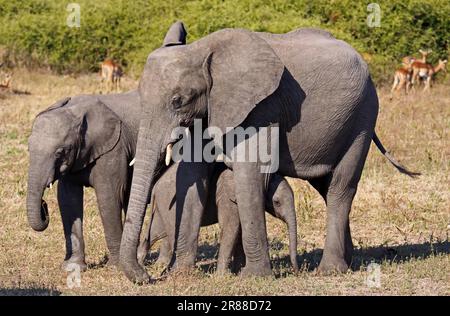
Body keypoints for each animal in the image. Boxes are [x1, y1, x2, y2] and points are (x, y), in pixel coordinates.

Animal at [137, 165, 298, 274]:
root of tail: (156, 186)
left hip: (163, 207)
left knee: (154, 233)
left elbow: (239, 229)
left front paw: (238, 270)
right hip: (171, 206)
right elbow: (231, 227)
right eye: (277, 202)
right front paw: (222, 275)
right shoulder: (227, 196)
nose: (296, 271)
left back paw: (139, 261)